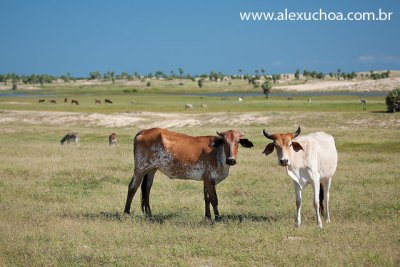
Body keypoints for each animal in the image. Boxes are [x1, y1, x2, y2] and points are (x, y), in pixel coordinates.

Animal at [124, 129, 253, 221]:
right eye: (225, 142)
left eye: (237, 142)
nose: (231, 160)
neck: (217, 153)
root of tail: (142, 132)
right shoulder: (209, 178)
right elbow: (214, 199)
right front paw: (217, 218)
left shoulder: (206, 179)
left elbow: (207, 199)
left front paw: (208, 217)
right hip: (140, 168)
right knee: (132, 187)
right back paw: (126, 213)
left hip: (151, 169)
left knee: (147, 189)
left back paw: (149, 215)